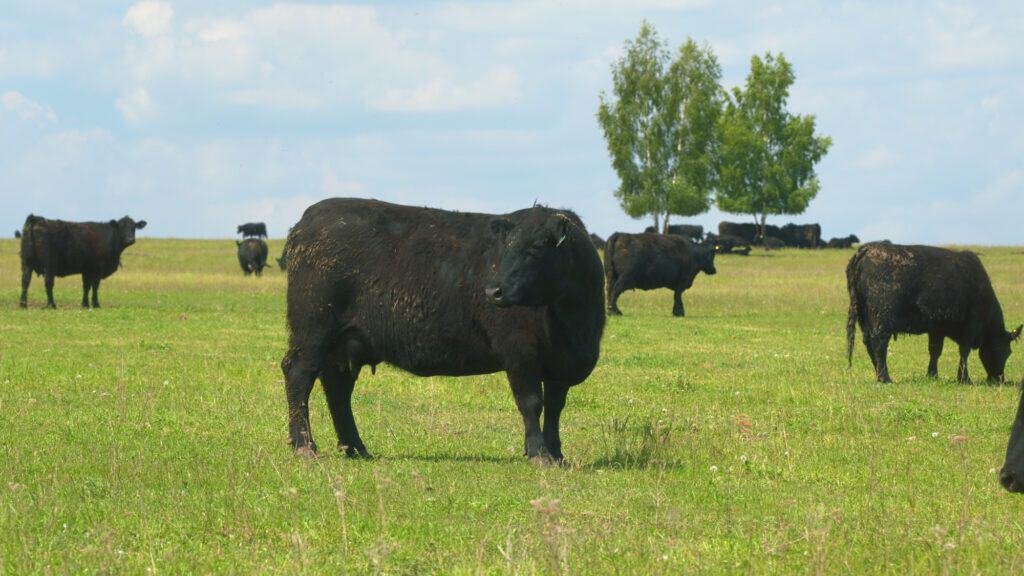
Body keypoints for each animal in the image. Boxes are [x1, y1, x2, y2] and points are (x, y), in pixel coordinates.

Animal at [281, 198, 605, 463]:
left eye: (536, 247)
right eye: (504, 247)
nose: (493, 291)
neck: (570, 320)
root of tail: (309, 219)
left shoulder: (562, 366)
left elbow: (555, 408)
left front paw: (557, 453)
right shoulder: (520, 354)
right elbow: (532, 403)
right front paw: (539, 453)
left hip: (344, 345)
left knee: (338, 389)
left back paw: (355, 448)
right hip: (313, 333)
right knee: (299, 376)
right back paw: (304, 445)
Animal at [846, 242, 1021, 383]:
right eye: (1005, 351)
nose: (1000, 379)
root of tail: (867, 249)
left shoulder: (937, 329)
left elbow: (935, 351)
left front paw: (932, 375)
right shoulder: (970, 327)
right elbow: (964, 352)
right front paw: (964, 378)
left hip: (864, 316)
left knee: (868, 342)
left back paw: (878, 373)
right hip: (882, 317)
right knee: (879, 343)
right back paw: (884, 377)